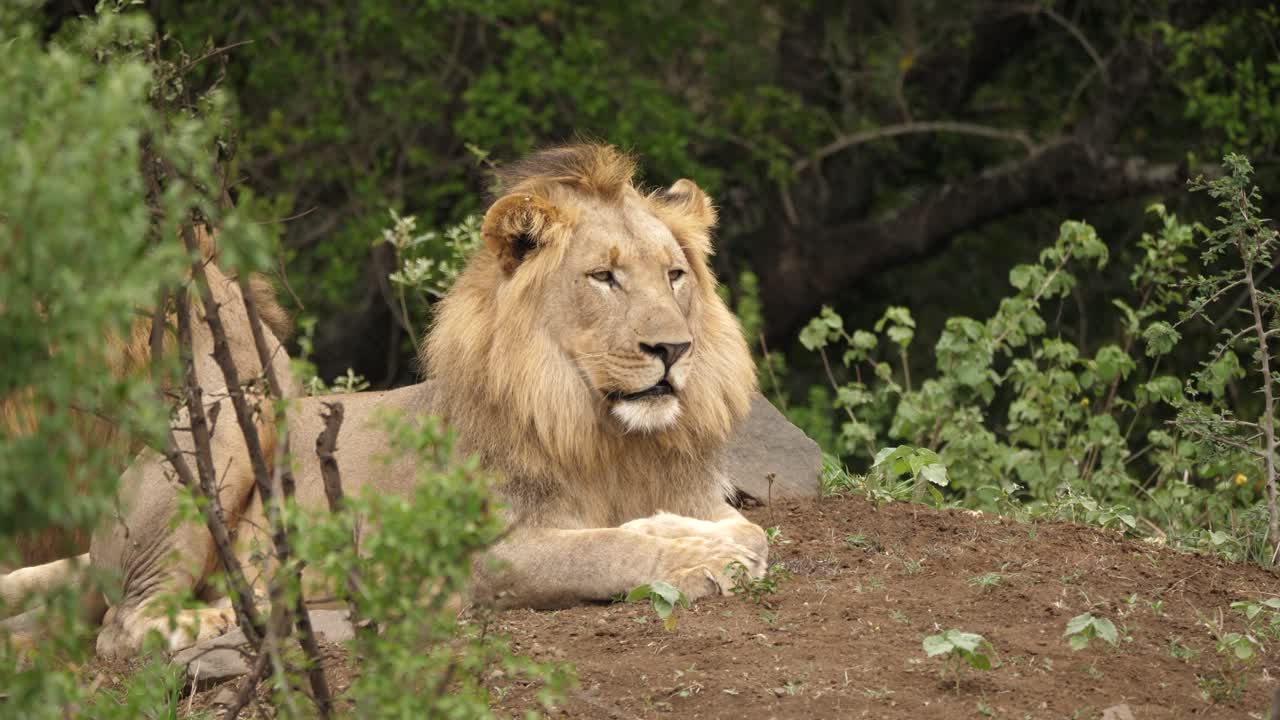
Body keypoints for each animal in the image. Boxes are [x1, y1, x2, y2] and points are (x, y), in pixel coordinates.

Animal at [5, 143, 768, 659]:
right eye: (603, 277)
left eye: (674, 275)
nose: (673, 350)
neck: (605, 433)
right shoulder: (476, 557)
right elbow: (611, 547)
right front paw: (703, 557)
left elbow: (734, 528)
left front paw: (718, 540)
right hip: (232, 433)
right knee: (118, 628)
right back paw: (207, 616)